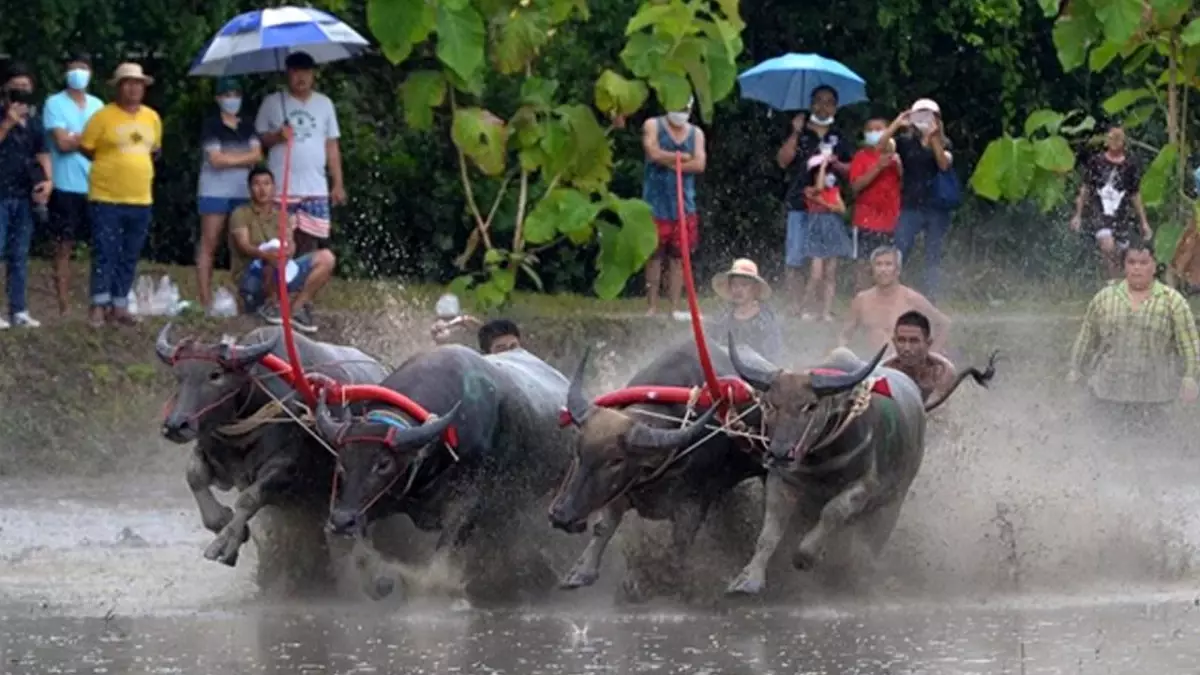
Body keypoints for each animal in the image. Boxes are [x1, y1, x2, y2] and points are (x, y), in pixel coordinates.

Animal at [156, 324, 388, 564]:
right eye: (179, 376)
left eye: (215, 374)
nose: (175, 425)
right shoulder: (212, 453)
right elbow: (194, 475)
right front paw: (222, 521)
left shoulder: (284, 467)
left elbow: (249, 498)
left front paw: (226, 542)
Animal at [309, 343, 571, 600]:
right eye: (342, 461)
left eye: (383, 463)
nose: (342, 521)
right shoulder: (379, 504)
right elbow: (363, 554)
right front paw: (382, 582)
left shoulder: (467, 506)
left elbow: (437, 570)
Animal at [547, 338, 763, 595]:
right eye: (578, 451)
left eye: (616, 461)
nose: (561, 515)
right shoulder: (622, 491)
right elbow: (604, 526)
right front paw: (581, 572)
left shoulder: (692, 503)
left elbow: (680, 544)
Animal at [720, 341, 926, 593]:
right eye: (770, 403)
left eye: (810, 405)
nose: (780, 454)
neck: (819, 463)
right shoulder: (781, 480)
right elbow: (769, 532)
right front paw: (749, 579)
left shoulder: (865, 487)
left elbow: (833, 512)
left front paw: (805, 556)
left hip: (892, 504)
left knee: (871, 543)